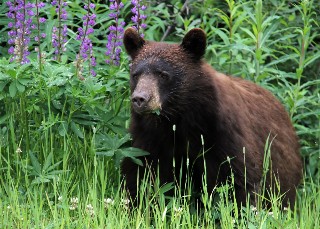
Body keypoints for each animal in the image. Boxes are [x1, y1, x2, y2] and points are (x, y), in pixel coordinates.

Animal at [122, 26, 302, 208]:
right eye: (136, 74)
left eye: (163, 74)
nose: (140, 99)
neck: (178, 119)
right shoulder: (148, 137)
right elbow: (138, 175)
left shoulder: (223, 133)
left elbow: (241, 178)